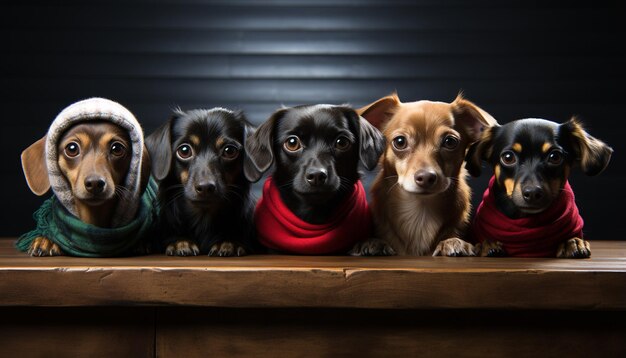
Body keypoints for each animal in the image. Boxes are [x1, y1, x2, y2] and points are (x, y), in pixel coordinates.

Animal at [352, 93, 498, 256]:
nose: (427, 177)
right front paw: (373, 243)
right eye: (400, 142)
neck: (421, 214)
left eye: (450, 142)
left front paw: (456, 242)